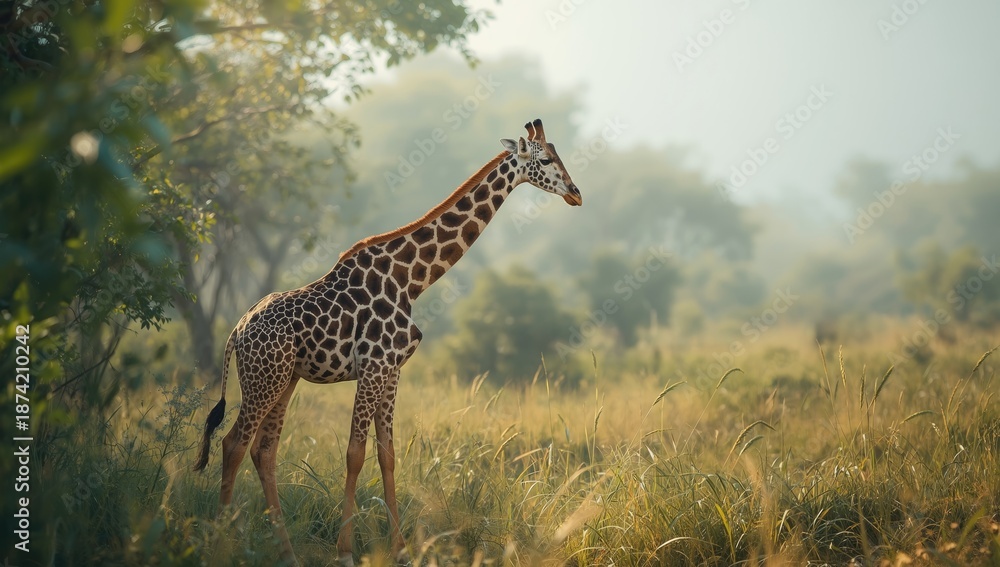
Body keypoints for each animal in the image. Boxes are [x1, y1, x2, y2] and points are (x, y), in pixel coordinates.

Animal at [192, 119, 582, 566]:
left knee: (264, 449)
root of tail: (237, 332)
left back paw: (287, 551)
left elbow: (387, 455)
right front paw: (346, 550)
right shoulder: (374, 367)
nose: (576, 193)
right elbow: (354, 454)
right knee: (233, 443)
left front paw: (400, 548)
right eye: (546, 159)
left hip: (285, 379)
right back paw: (221, 545)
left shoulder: (392, 371)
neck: (412, 280)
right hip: (263, 379)